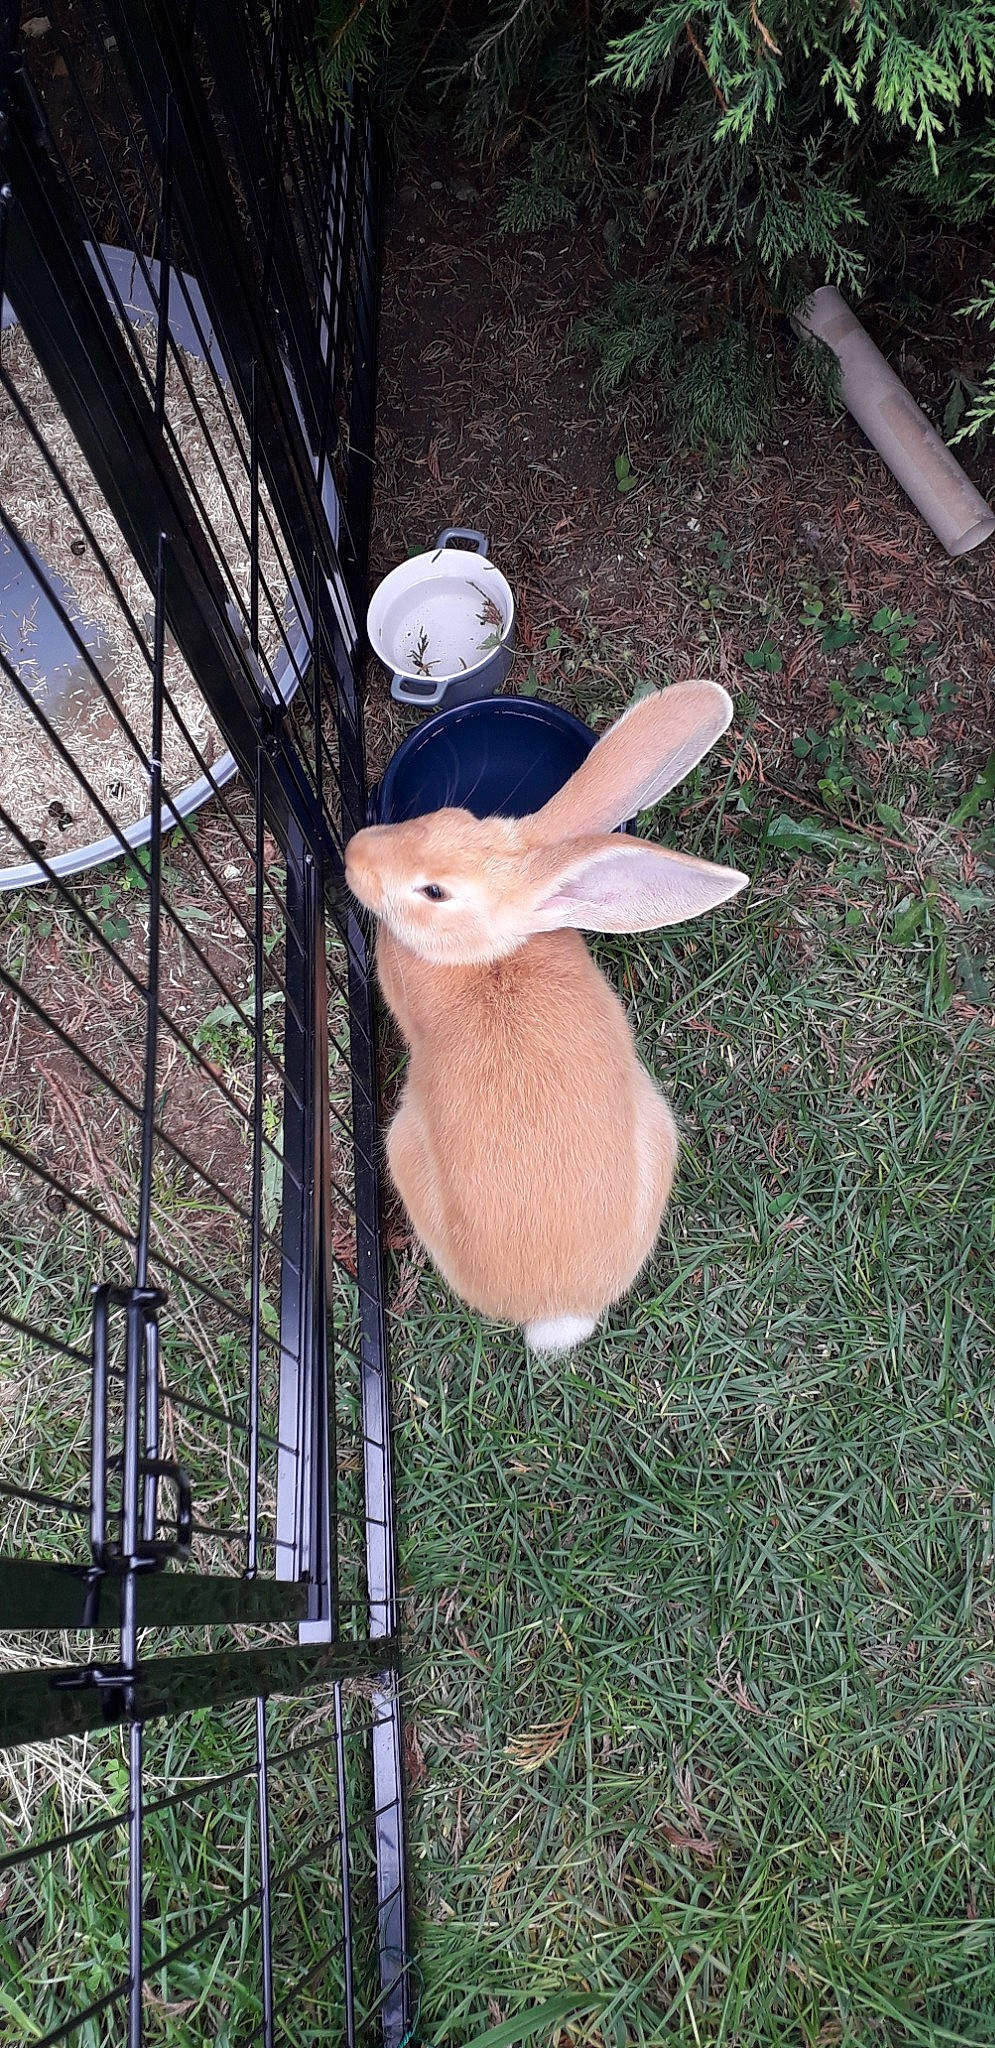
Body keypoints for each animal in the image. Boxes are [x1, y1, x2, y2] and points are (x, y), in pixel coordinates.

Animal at [345, 683, 747, 1353]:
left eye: (434, 892)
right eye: (451, 818)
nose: (353, 854)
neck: (488, 954)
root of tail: (557, 1309)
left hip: (401, 1146)